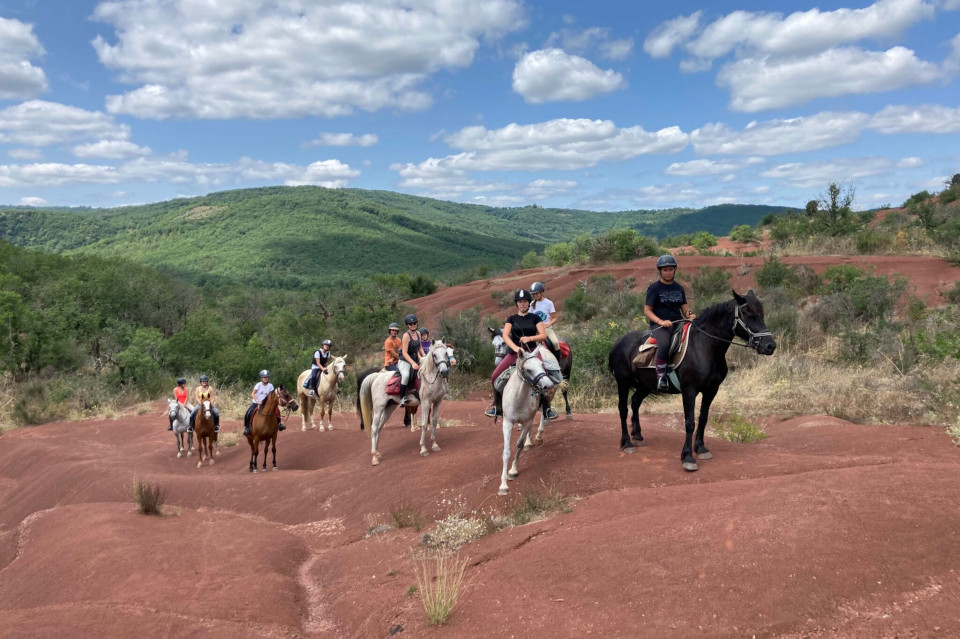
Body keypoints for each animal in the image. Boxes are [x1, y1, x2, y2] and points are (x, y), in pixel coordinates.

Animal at [498, 348, 560, 498]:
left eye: (542, 365)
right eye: (528, 370)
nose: (548, 384)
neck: (519, 398)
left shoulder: (527, 421)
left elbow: (519, 445)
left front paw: (513, 471)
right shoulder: (507, 423)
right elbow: (506, 452)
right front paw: (503, 485)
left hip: (547, 399)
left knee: (543, 414)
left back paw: (536, 438)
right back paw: (530, 441)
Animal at [612, 292, 776, 472]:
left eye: (761, 314)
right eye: (748, 314)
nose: (770, 346)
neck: (706, 346)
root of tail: (618, 343)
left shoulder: (711, 390)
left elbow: (703, 418)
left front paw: (701, 449)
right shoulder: (689, 391)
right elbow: (690, 422)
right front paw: (688, 457)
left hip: (645, 385)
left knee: (635, 402)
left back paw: (638, 435)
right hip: (623, 382)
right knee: (623, 409)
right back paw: (627, 443)